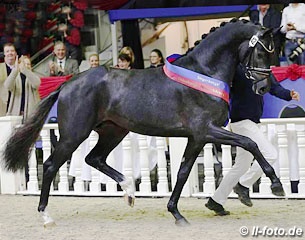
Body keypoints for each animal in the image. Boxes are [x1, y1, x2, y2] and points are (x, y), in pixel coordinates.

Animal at [2, 19, 282, 227]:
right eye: (261, 51)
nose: (263, 87)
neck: (204, 72)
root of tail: (67, 84)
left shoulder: (197, 137)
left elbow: (182, 172)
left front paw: (177, 213)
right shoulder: (207, 130)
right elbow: (250, 143)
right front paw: (275, 185)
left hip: (113, 131)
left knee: (94, 158)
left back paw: (129, 192)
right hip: (74, 134)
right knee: (51, 165)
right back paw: (46, 216)